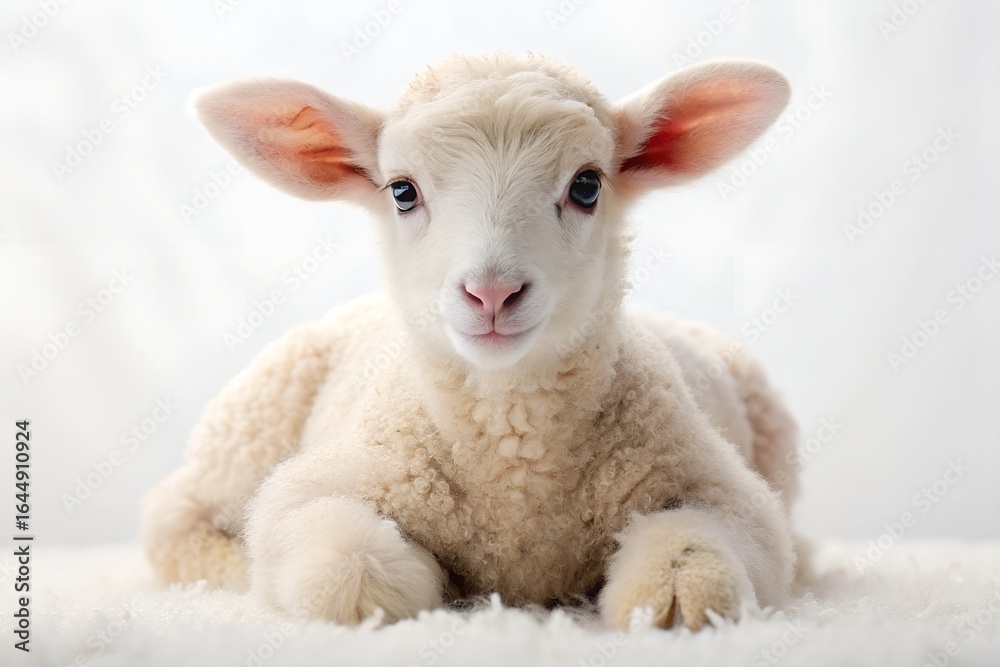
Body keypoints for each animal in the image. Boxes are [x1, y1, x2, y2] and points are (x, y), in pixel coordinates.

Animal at [141, 52, 799, 630]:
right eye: (402, 192)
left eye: (587, 186)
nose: (492, 292)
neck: (514, 455)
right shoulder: (315, 487)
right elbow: (349, 575)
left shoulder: (728, 495)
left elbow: (697, 561)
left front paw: (673, 596)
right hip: (245, 437)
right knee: (172, 520)